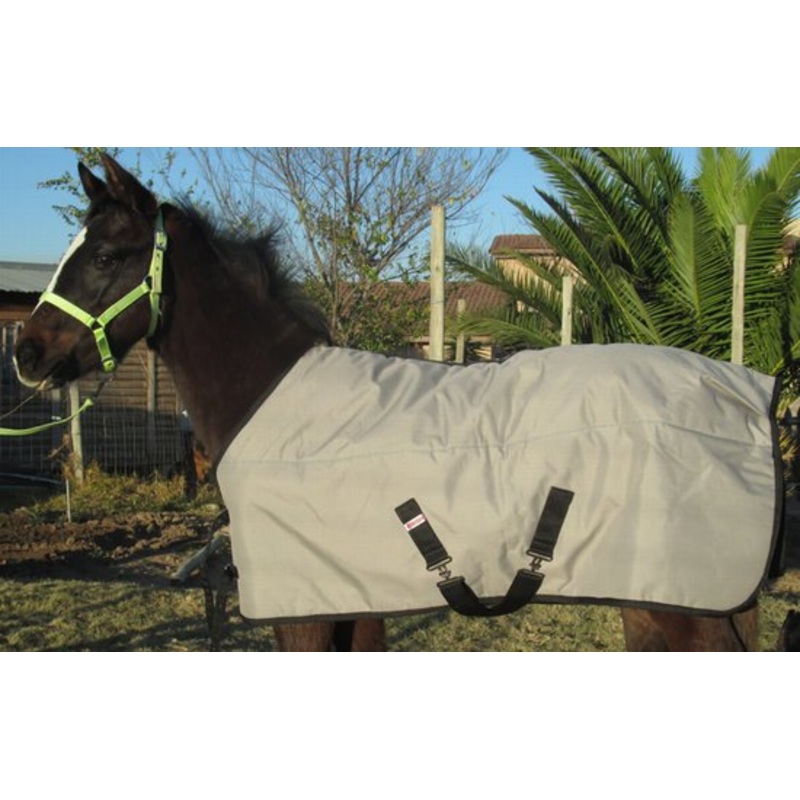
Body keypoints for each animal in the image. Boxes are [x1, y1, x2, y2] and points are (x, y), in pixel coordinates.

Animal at [14, 154, 769, 651]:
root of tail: (754, 395)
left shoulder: (307, 610)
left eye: (107, 256)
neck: (269, 393)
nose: (26, 351)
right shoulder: (348, 598)